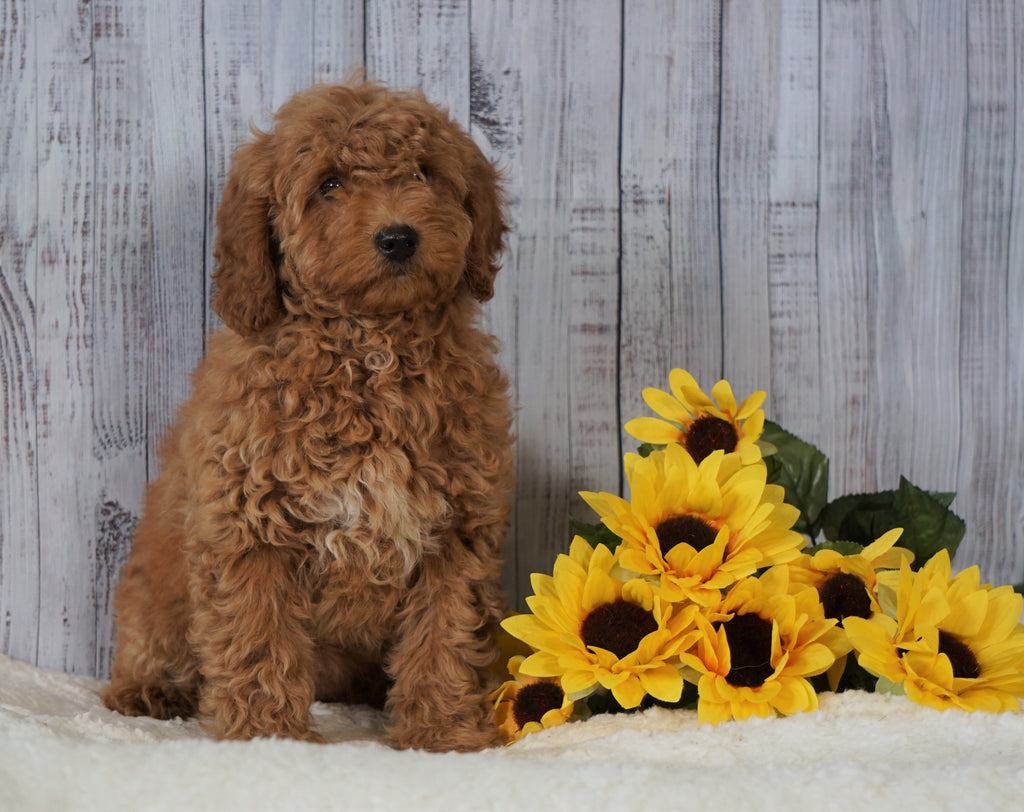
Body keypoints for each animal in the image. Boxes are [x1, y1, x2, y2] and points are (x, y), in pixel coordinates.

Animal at [103, 79, 512, 749]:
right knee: (154, 640)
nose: (399, 237)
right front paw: (267, 734)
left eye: (424, 173)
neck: (371, 348)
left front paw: (442, 733)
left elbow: (444, 634)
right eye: (328, 185)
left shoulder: (456, 530)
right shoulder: (248, 525)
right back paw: (150, 689)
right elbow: (257, 635)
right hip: (155, 593)